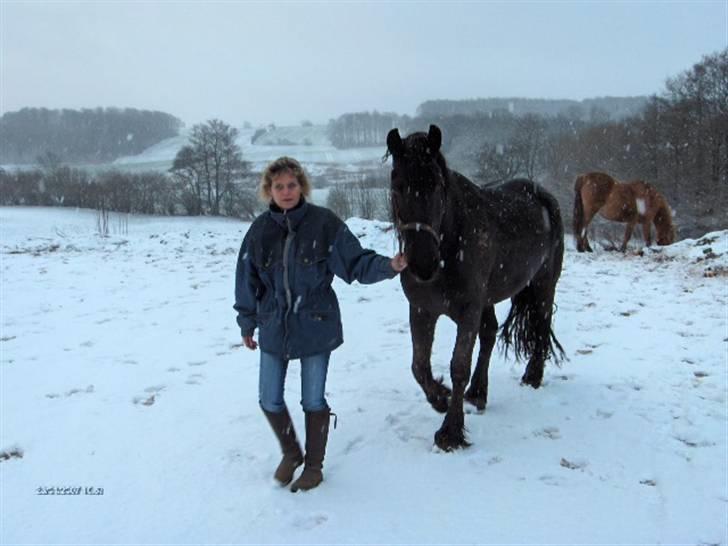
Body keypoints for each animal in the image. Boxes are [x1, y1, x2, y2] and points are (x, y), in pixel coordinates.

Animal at [384, 125, 564, 448]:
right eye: (397, 186)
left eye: (437, 186)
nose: (422, 264)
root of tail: (543, 195)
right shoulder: (422, 309)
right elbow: (419, 366)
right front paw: (440, 398)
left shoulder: (468, 310)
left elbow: (458, 366)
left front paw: (451, 431)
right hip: (489, 298)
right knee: (490, 334)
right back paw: (479, 392)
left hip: (544, 284)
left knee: (541, 326)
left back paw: (532, 376)